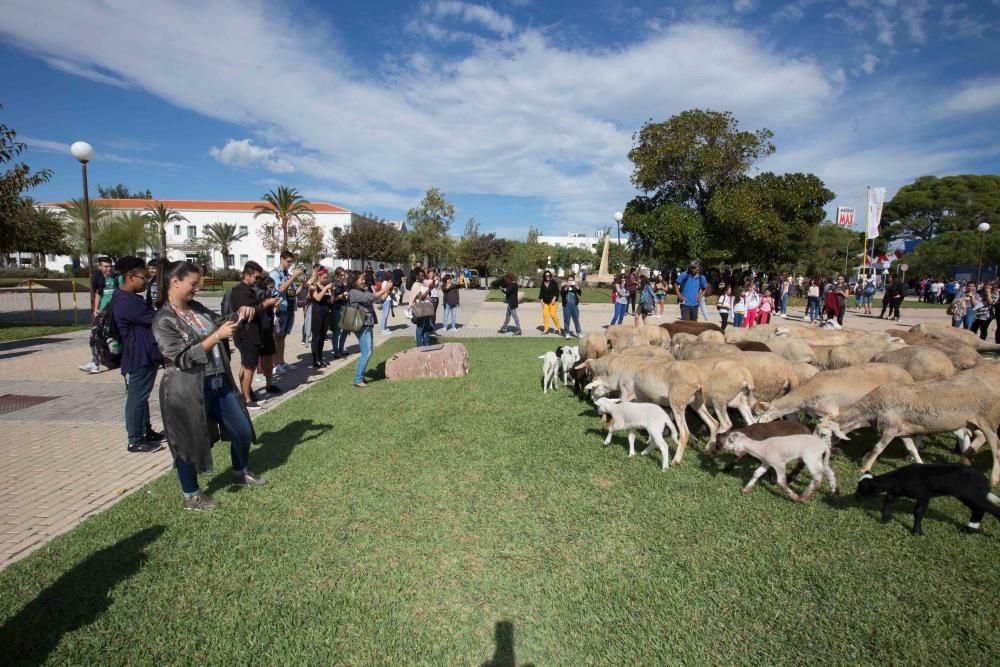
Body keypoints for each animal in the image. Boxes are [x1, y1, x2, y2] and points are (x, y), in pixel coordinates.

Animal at [820, 378, 1000, 482]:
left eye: (823, 434)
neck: (871, 411)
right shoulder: (902, 431)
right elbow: (912, 448)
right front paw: (920, 464)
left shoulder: (891, 429)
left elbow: (878, 448)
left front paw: (864, 467)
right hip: (975, 422)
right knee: (981, 437)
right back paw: (966, 459)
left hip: (988, 420)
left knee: (995, 446)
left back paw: (993, 479)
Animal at [852, 464, 1000, 536]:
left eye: (863, 487)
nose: (855, 496)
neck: (899, 478)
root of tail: (984, 480)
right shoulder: (898, 491)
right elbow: (888, 499)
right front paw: (886, 519)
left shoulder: (924, 495)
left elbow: (918, 512)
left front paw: (917, 532)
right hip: (965, 495)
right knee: (978, 509)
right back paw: (971, 528)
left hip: (973, 494)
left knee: (992, 509)